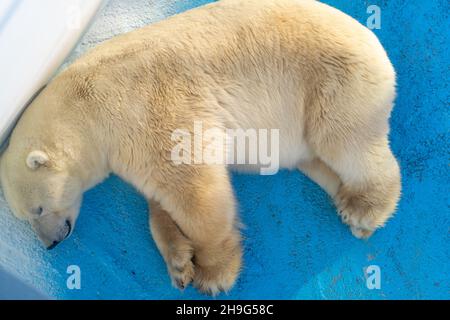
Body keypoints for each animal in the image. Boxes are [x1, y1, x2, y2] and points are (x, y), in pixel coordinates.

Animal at [0, 0, 400, 296]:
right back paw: (347, 202)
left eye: (37, 209)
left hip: (330, 81)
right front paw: (178, 262)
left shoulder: (144, 110)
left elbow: (195, 191)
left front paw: (213, 273)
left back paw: (366, 210)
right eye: (22, 217)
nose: (50, 244)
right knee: (316, 160)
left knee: (344, 140)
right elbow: (159, 199)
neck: (86, 108)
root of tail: (371, 38)